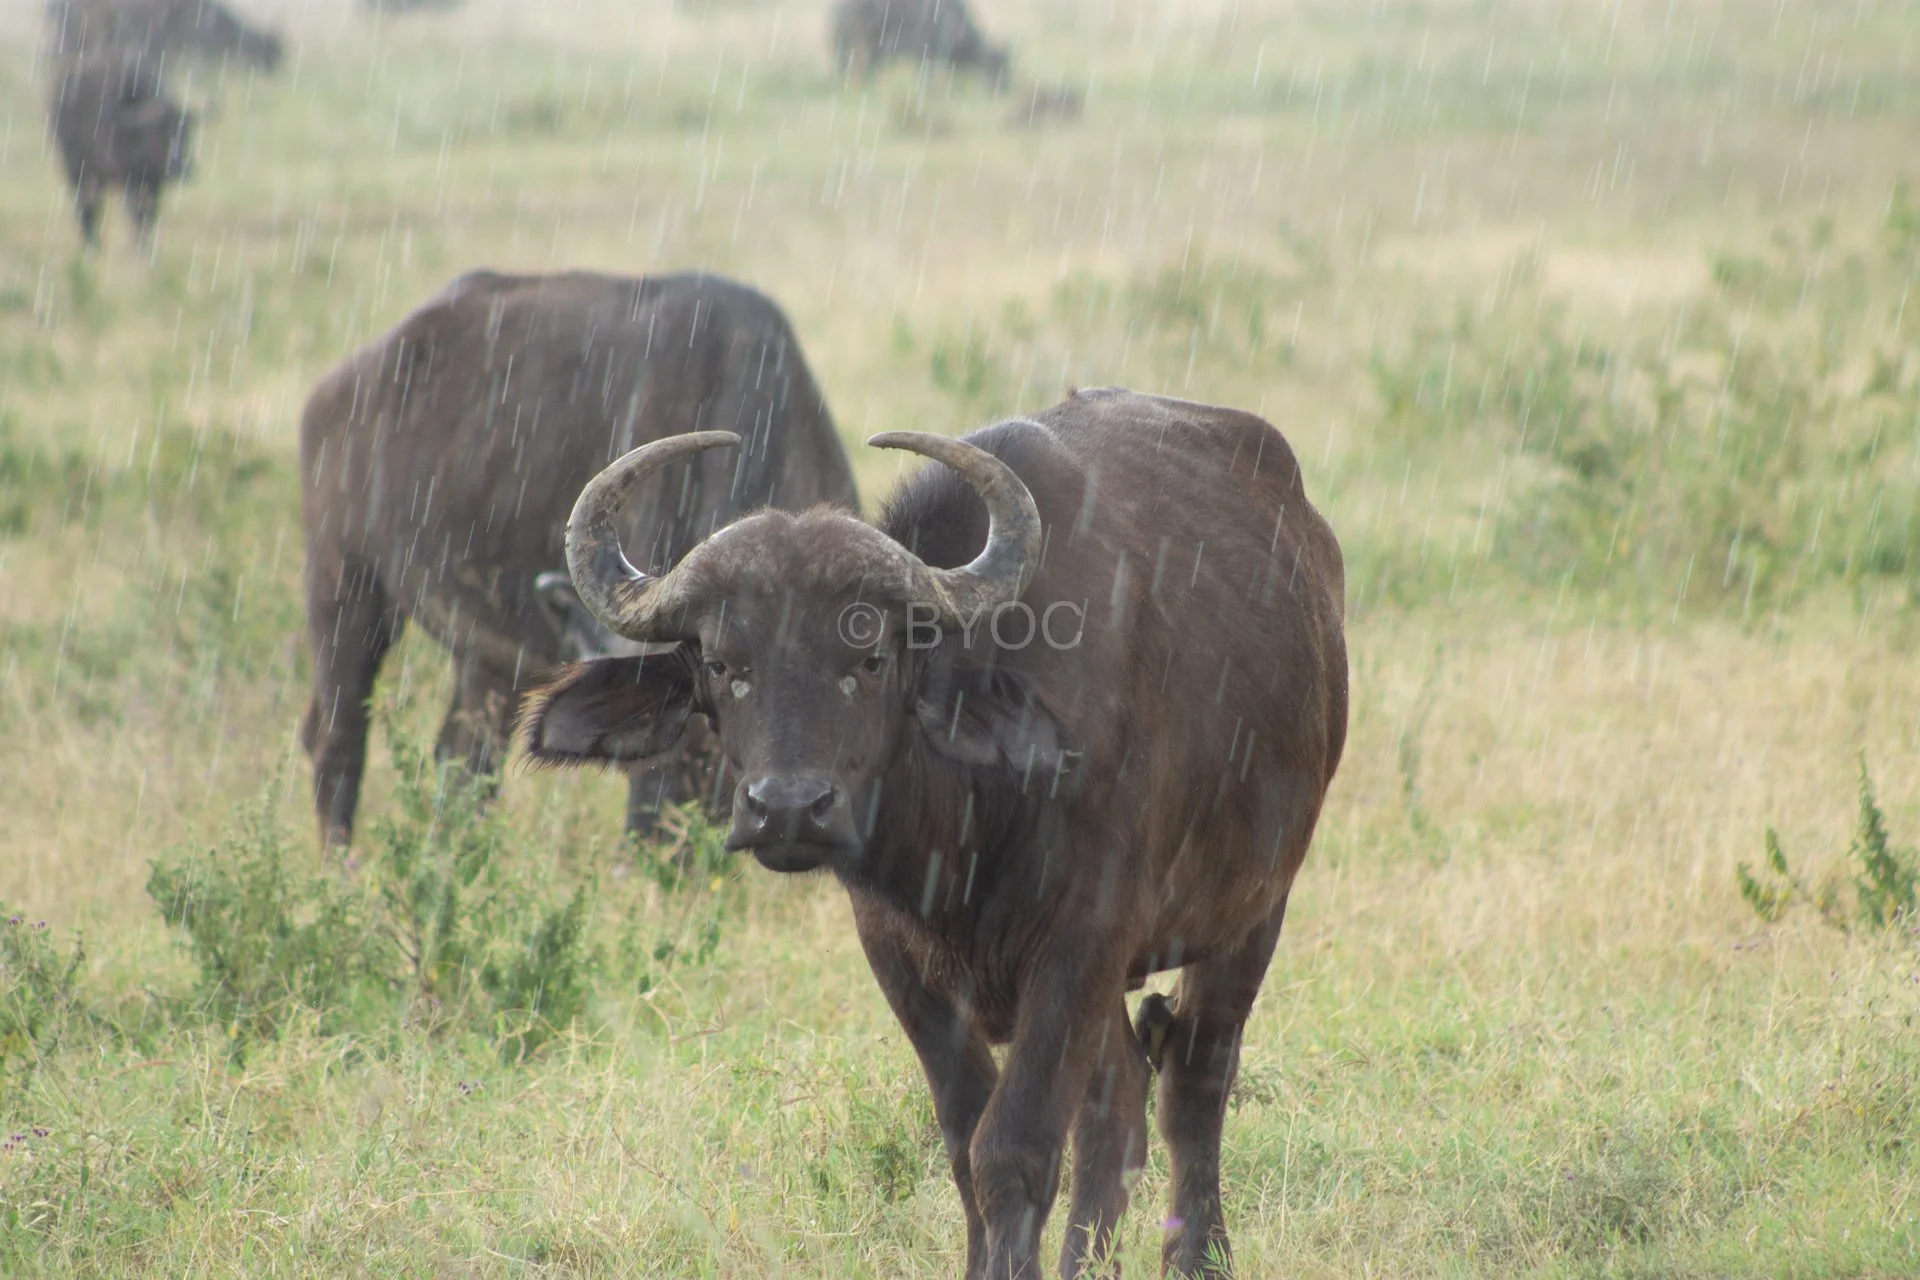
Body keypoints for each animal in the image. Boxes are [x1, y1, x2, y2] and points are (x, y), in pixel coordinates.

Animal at [300, 270, 858, 849]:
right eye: (660, 734)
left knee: (461, 759)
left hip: (484, 658)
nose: (648, 844)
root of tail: (343, 382)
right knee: (337, 739)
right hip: (343, 587)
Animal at [521, 388, 1348, 1277]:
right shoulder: (898, 954)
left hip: (1255, 909)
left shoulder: (1083, 941)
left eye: (870, 656)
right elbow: (963, 1140)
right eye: (721, 663)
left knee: (1193, 1081)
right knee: (1120, 1104)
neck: (969, 827)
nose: (788, 806)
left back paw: (1198, 1255)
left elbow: (1013, 1148)